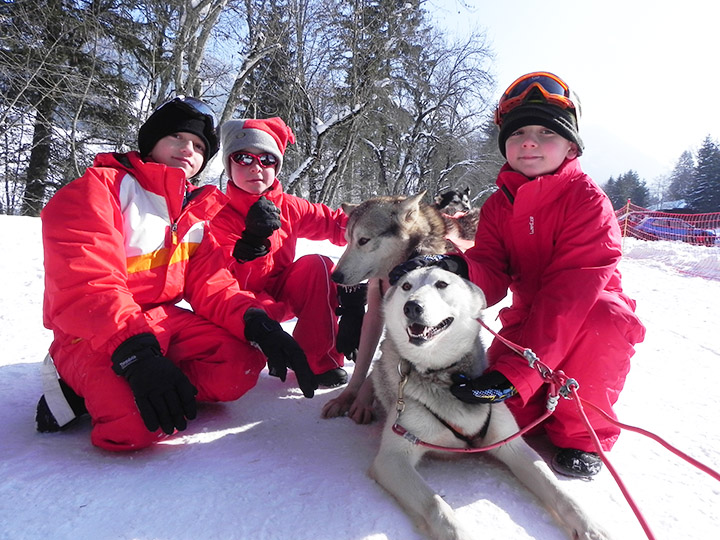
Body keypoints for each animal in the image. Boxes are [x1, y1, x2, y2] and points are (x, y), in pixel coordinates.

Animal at [372, 268, 612, 540]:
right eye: (406, 286)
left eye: (442, 284)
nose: (412, 306)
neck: (442, 373)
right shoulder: (392, 459)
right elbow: (435, 504)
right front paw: (459, 534)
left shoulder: (512, 445)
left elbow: (559, 491)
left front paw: (590, 526)